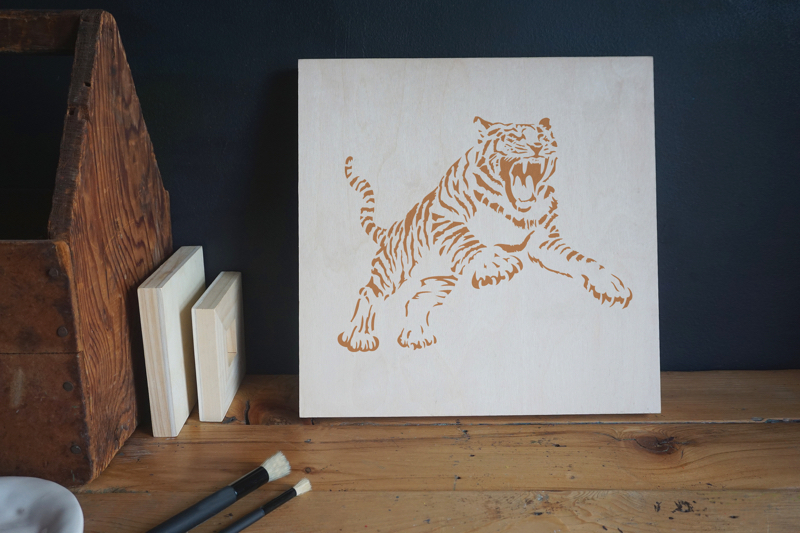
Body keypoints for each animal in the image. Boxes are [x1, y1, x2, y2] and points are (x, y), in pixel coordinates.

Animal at [338, 116, 632, 352]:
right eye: (516, 137)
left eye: (542, 138)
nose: (537, 147)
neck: (514, 210)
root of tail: (392, 229)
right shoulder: (446, 215)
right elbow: (469, 240)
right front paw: (496, 263)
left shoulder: (545, 241)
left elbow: (580, 259)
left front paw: (611, 285)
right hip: (395, 267)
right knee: (369, 293)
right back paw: (359, 338)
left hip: (439, 279)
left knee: (417, 301)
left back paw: (415, 336)